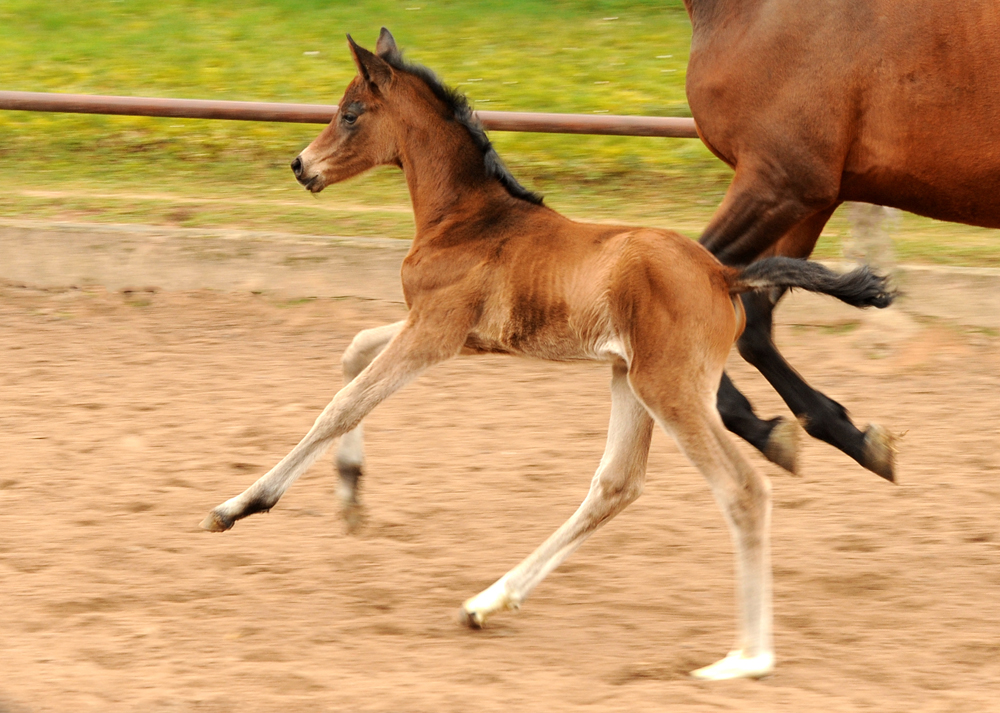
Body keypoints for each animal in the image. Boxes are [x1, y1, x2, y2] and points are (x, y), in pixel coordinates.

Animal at [201, 30, 892, 680]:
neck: (469, 218)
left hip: (669, 389)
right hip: (629, 379)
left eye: (349, 112)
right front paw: (349, 497)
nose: (301, 166)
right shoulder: (449, 336)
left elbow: (342, 404)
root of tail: (725, 275)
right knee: (616, 484)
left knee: (741, 490)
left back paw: (746, 658)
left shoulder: (433, 332)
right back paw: (487, 602)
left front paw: (239, 506)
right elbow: (352, 353)